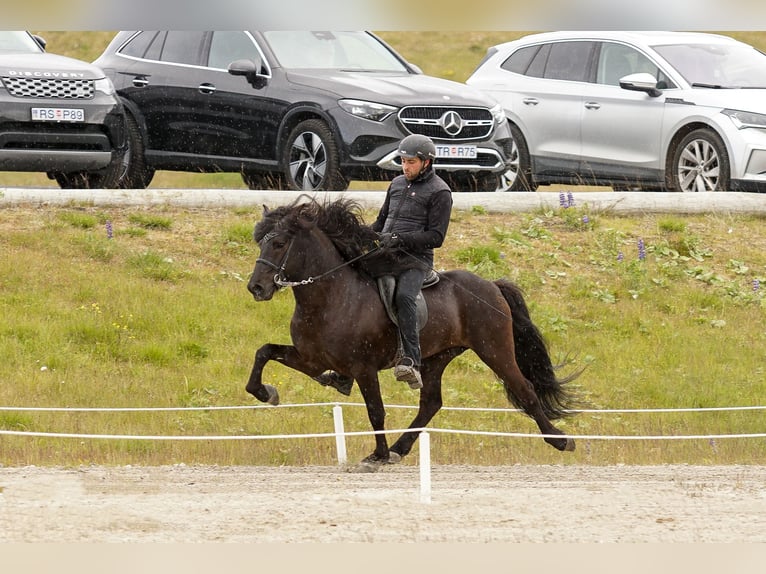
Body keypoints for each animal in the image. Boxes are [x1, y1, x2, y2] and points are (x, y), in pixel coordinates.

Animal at [245, 196, 582, 469]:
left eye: (279, 243)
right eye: (261, 242)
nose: (256, 288)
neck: (331, 296)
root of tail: (491, 285)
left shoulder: (363, 368)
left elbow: (376, 410)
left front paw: (376, 456)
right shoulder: (312, 359)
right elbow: (264, 352)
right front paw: (266, 393)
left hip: (494, 349)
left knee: (525, 389)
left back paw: (560, 440)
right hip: (436, 357)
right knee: (430, 404)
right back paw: (399, 449)